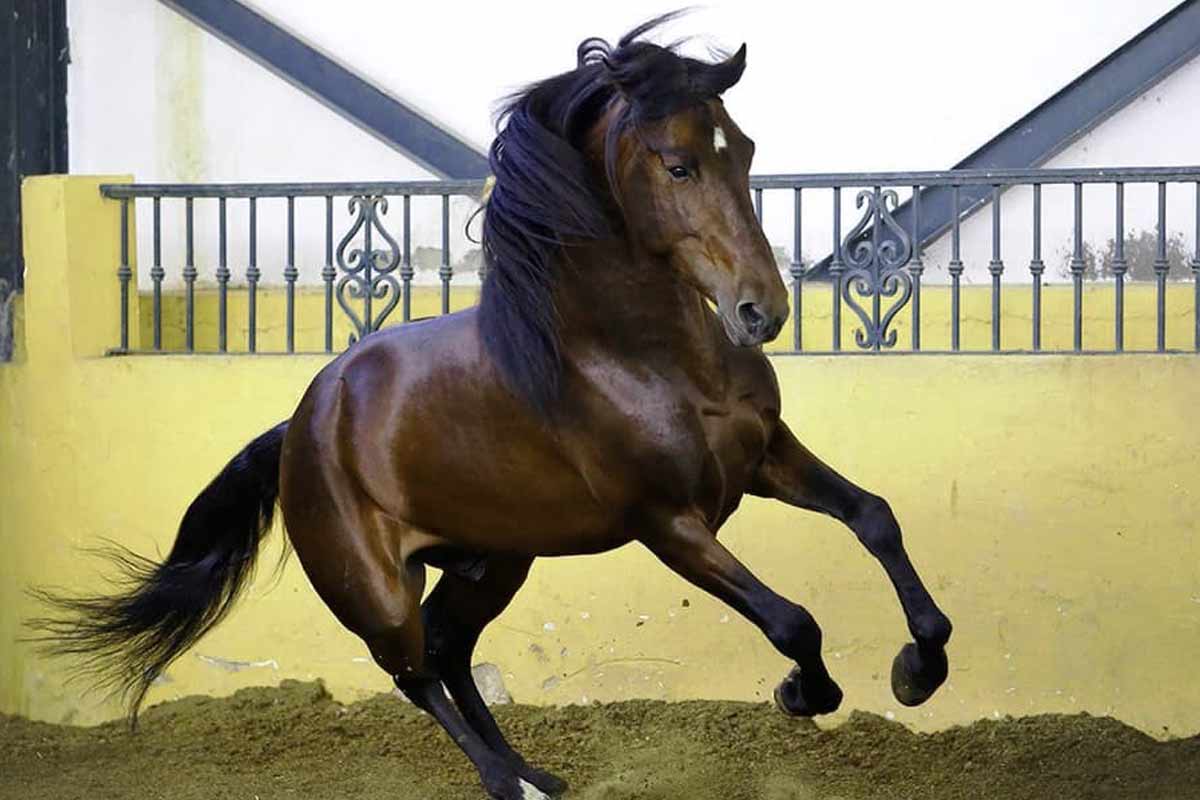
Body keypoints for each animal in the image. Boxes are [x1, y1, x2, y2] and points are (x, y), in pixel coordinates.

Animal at [31, 17, 952, 800]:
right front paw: (804, 692)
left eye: (747, 151)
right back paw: (509, 783)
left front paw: (920, 668)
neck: (650, 355)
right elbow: (791, 620)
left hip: (493, 561)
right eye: (677, 163)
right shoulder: (667, 522)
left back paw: (536, 774)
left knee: (449, 650)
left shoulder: (765, 457)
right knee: (412, 670)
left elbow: (874, 517)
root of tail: (298, 429)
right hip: (377, 588)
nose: (762, 312)